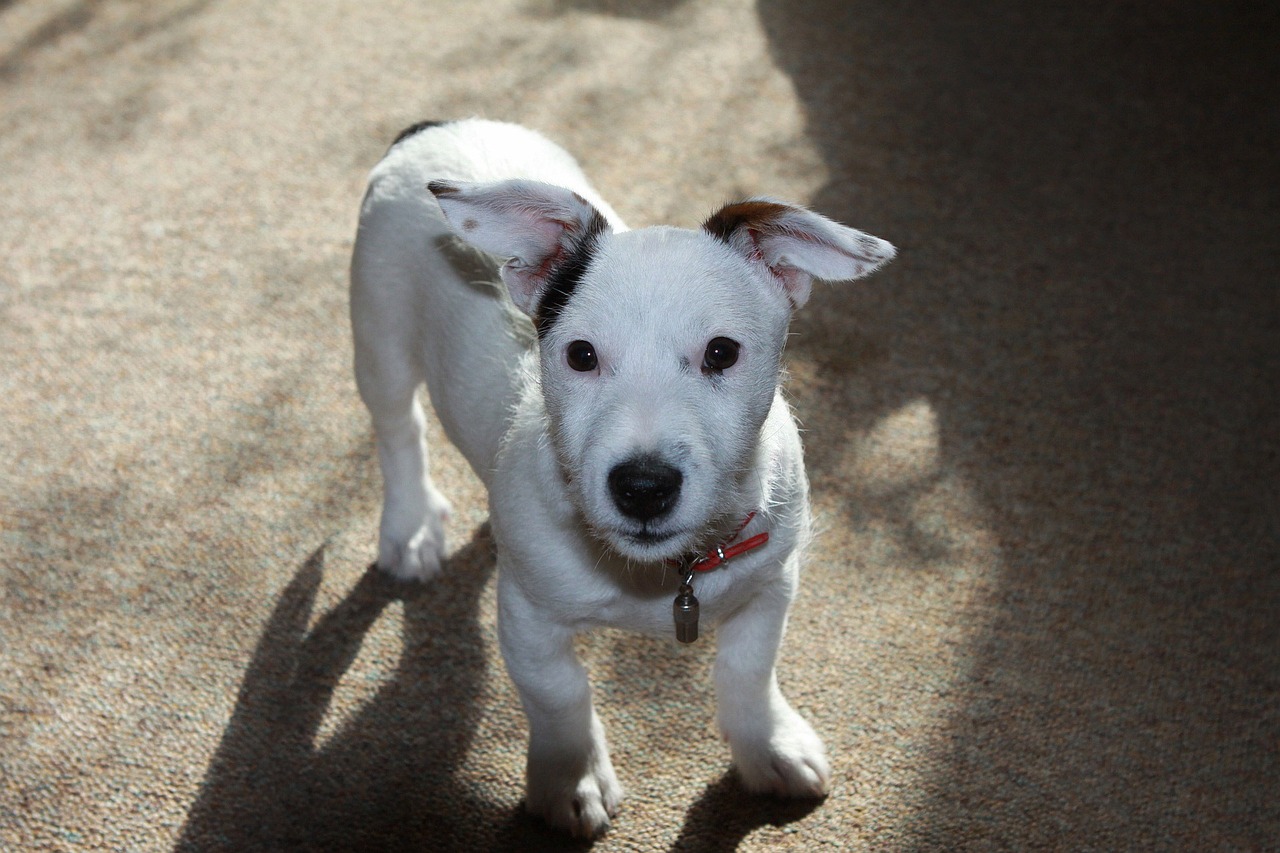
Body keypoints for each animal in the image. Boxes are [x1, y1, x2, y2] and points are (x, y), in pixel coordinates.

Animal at [348, 116, 890, 835]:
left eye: (722, 352)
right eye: (580, 355)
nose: (643, 487)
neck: (662, 576)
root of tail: (439, 126)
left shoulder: (771, 582)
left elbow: (748, 670)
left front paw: (768, 747)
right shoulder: (529, 618)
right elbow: (559, 696)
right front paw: (570, 777)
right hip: (377, 331)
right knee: (398, 428)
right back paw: (410, 526)